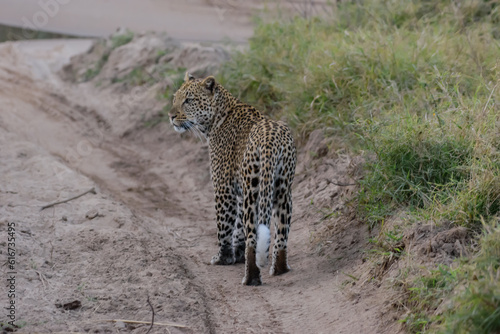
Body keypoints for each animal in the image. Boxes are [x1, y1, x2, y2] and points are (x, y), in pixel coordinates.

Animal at [170, 72, 294, 284]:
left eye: (188, 100)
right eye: (175, 98)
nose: (171, 116)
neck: (215, 120)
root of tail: (270, 140)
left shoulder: (224, 188)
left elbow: (224, 227)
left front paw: (223, 258)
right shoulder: (239, 191)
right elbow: (237, 228)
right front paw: (236, 254)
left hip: (253, 192)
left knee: (253, 236)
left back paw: (250, 279)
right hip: (283, 190)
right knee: (281, 234)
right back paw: (279, 269)